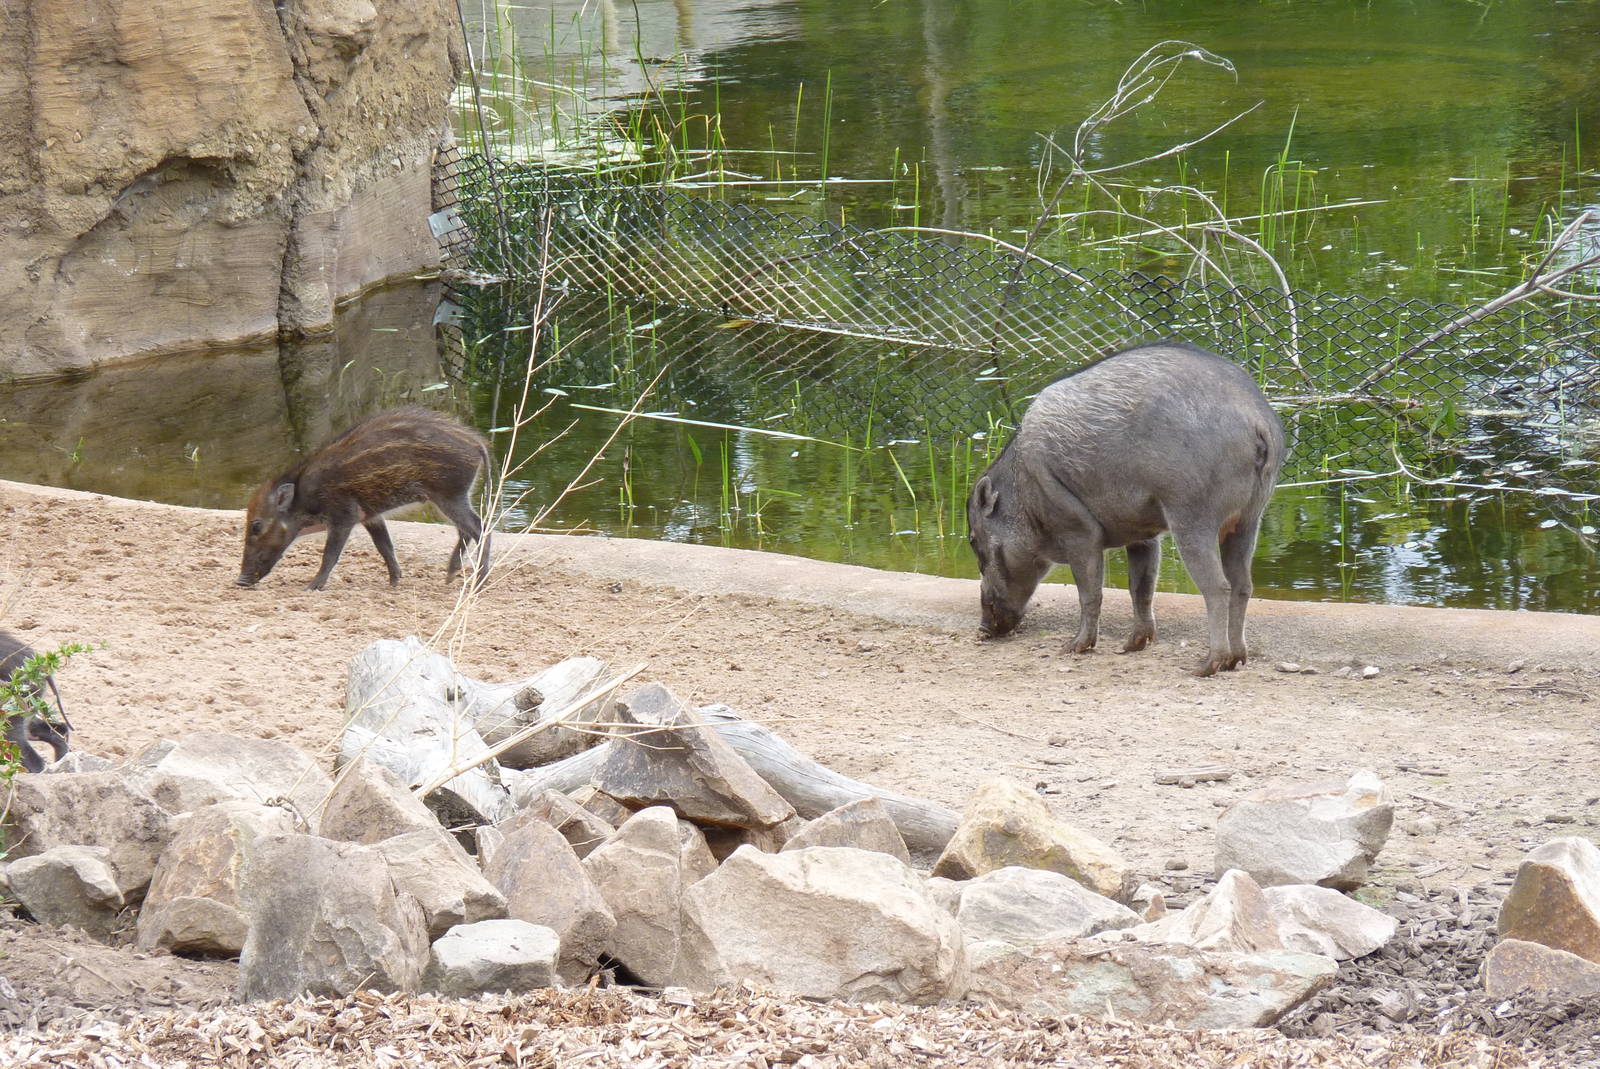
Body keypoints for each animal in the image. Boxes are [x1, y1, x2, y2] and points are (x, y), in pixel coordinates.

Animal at [237, 407, 493, 591]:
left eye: (256, 526)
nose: (240, 581)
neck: (303, 498)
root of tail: (477, 443)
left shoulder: (345, 515)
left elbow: (330, 554)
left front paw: (312, 587)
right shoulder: (370, 515)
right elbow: (384, 546)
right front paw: (394, 582)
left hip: (449, 495)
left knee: (480, 527)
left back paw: (478, 582)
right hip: (449, 497)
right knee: (465, 531)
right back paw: (450, 576)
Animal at [967, 341, 1285, 676]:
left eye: (974, 540)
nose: (983, 629)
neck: (1023, 489)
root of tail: (1257, 422)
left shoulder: (1079, 530)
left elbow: (1090, 591)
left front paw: (1073, 647)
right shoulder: (1144, 535)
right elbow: (1140, 587)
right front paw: (1132, 646)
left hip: (1193, 518)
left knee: (1218, 587)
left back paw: (1207, 665)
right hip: (1248, 520)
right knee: (1242, 586)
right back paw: (1236, 660)